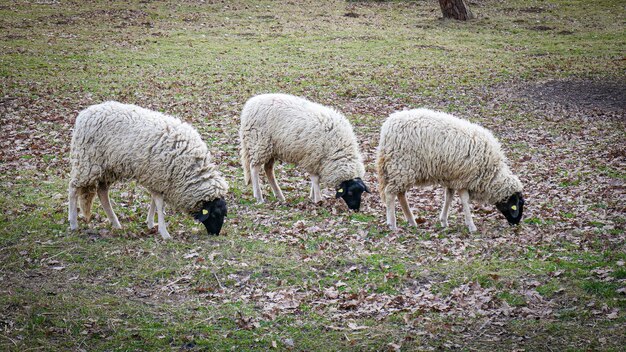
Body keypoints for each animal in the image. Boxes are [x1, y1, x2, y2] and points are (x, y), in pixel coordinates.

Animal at [67, 102, 228, 239]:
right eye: (215, 215)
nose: (215, 234)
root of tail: (84, 113)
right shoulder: (159, 176)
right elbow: (159, 203)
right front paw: (164, 233)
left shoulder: (158, 178)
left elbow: (154, 201)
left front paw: (151, 222)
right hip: (86, 162)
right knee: (73, 188)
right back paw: (73, 222)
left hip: (107, 168)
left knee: (102, 193)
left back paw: (116, 223)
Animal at [238, 93, 366, 209]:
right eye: (350, 192)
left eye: (361, 192)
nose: (355, 209)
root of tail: (250, 104)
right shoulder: (313, 156)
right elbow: (315, 179)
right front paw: (318, 199)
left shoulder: (317, 160)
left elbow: (315, 179)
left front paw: (312, 196)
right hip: (259, 143)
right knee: (254, 168)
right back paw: (259, 197)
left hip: (271, 149)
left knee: (268, 169)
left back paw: (280, 196)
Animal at [376, 108, 520, 232]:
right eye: (517, 203)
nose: (516, 223)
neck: (491, 173)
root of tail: (387, 127)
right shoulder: (464, 178)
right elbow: (464, 200)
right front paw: (471, 225)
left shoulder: (453, 178)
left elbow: (449, 197)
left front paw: (444, 221)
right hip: (401, 166)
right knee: (390, 193)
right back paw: (392, 224)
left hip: (402, 170)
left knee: (400, 194)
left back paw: (412, 221)